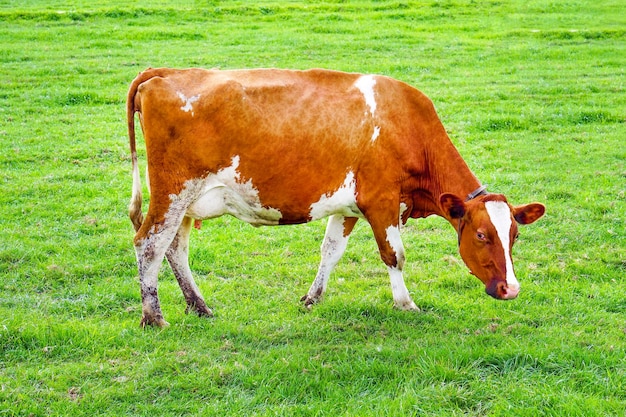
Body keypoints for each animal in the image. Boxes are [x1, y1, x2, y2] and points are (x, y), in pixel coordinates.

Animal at [125, 66, 540, 326]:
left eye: (515, 236)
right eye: (482, 235)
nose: (512, 289)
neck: (405, 123)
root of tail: (165, 72)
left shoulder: (350, 206)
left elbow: (331, 250)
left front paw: (312, 298)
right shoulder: (382, 201)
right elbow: (395, 254)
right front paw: (406, 303)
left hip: (185, 203)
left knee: (174, 248)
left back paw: (199, 306)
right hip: (173, 193)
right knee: (149, 243)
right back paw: (153, 316)